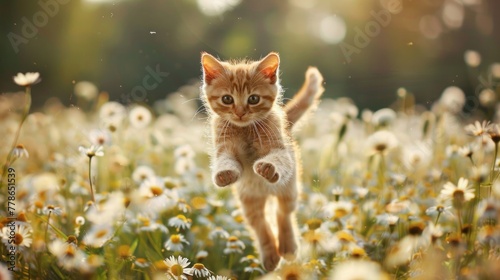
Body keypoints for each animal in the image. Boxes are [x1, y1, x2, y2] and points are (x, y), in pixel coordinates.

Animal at [202, 52, 324, 272]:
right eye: (227, 99)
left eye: (253, 99)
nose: (240, 112)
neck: (245, 129)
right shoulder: (224, 149)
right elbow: (226, 161)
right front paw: (225, 174)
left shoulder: (279, 150)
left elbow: (277, 159)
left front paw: (267, 168)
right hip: (248, 200)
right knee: (260, 224)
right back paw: (270, 256)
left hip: (289, 188)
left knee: (283, 213)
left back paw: (287, 247)